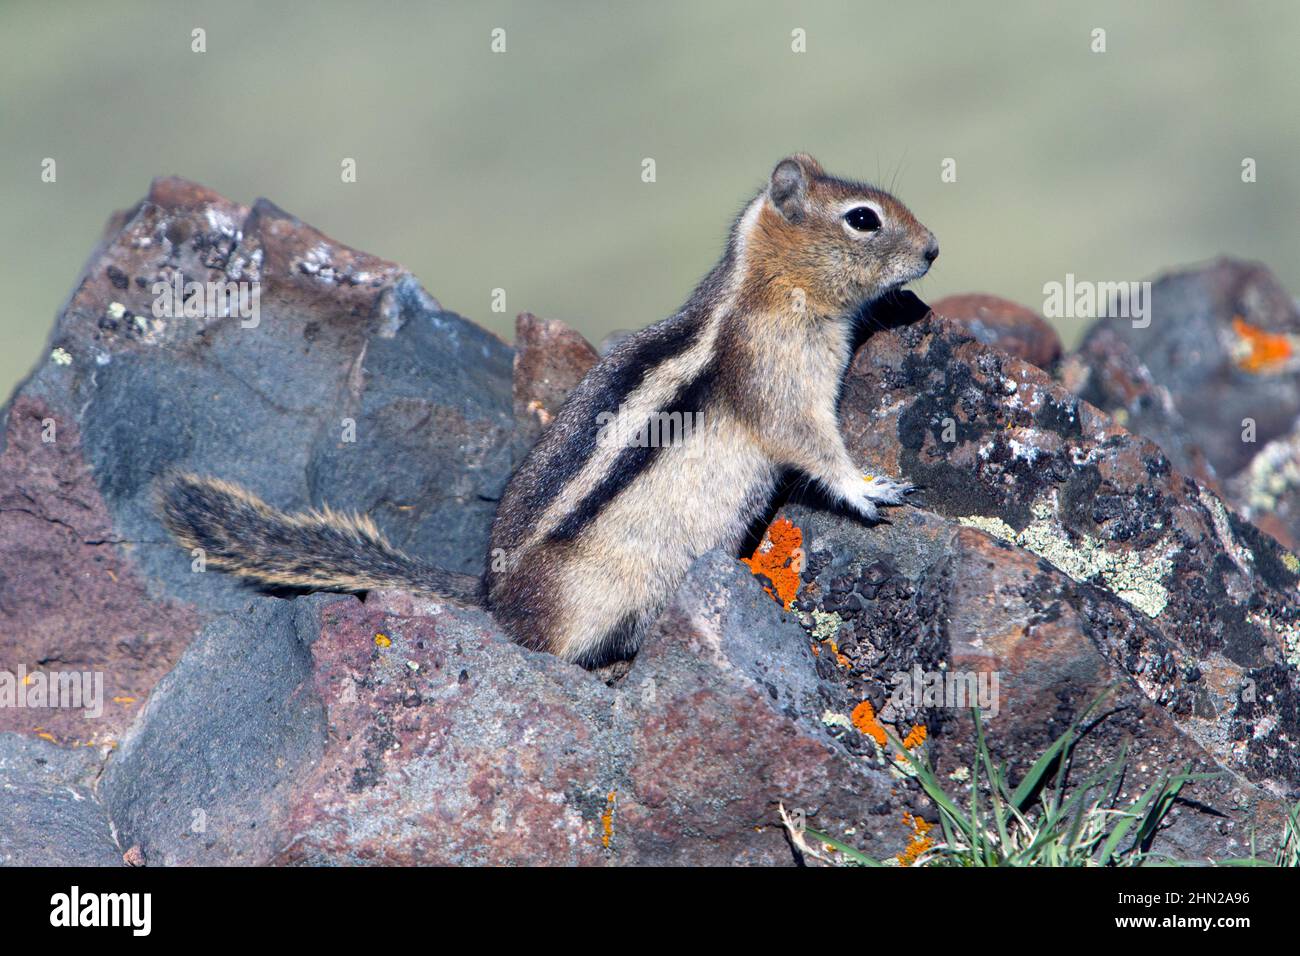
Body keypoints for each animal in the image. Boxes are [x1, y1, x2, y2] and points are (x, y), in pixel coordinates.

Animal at [160, 154, 938, 668]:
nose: (933, 249)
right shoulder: (782, 388)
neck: (769, 285)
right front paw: (870, 488)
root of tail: (490, 596)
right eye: (863, 219)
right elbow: (813, 448)